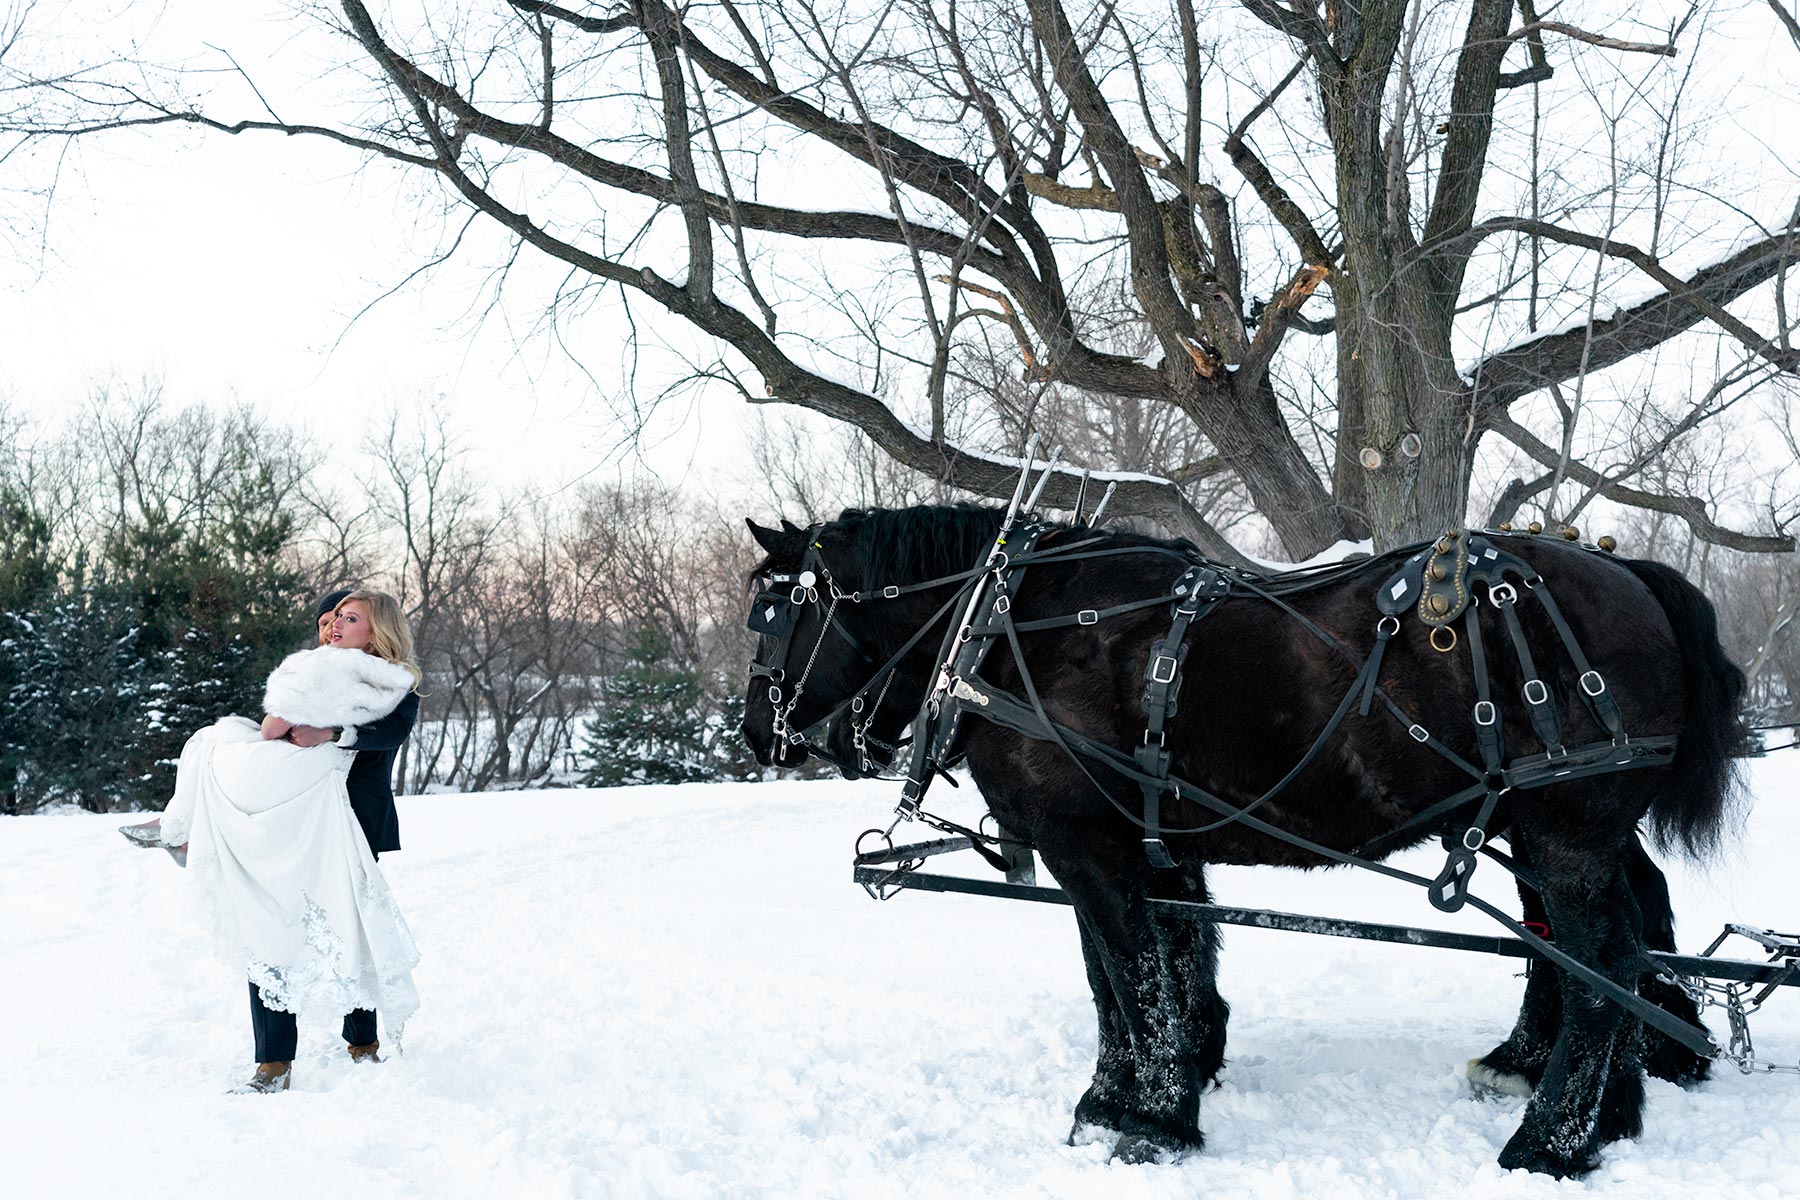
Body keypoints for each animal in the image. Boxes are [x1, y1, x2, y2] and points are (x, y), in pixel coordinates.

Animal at [741, 503, 1742, 1180]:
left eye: (772, 618)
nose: (755, 734)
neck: (1012, 622)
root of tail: (1631, 573)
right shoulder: (1147, 847)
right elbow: (1150, 971)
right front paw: (1135, 1092)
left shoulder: (1088, 852)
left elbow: (1131, 979)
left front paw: (1152, 1123)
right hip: (1533, 826)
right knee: (1600, 945)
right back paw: (1601, 1105)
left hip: (1563, 829)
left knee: (1600, 964)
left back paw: (1552, 1142)